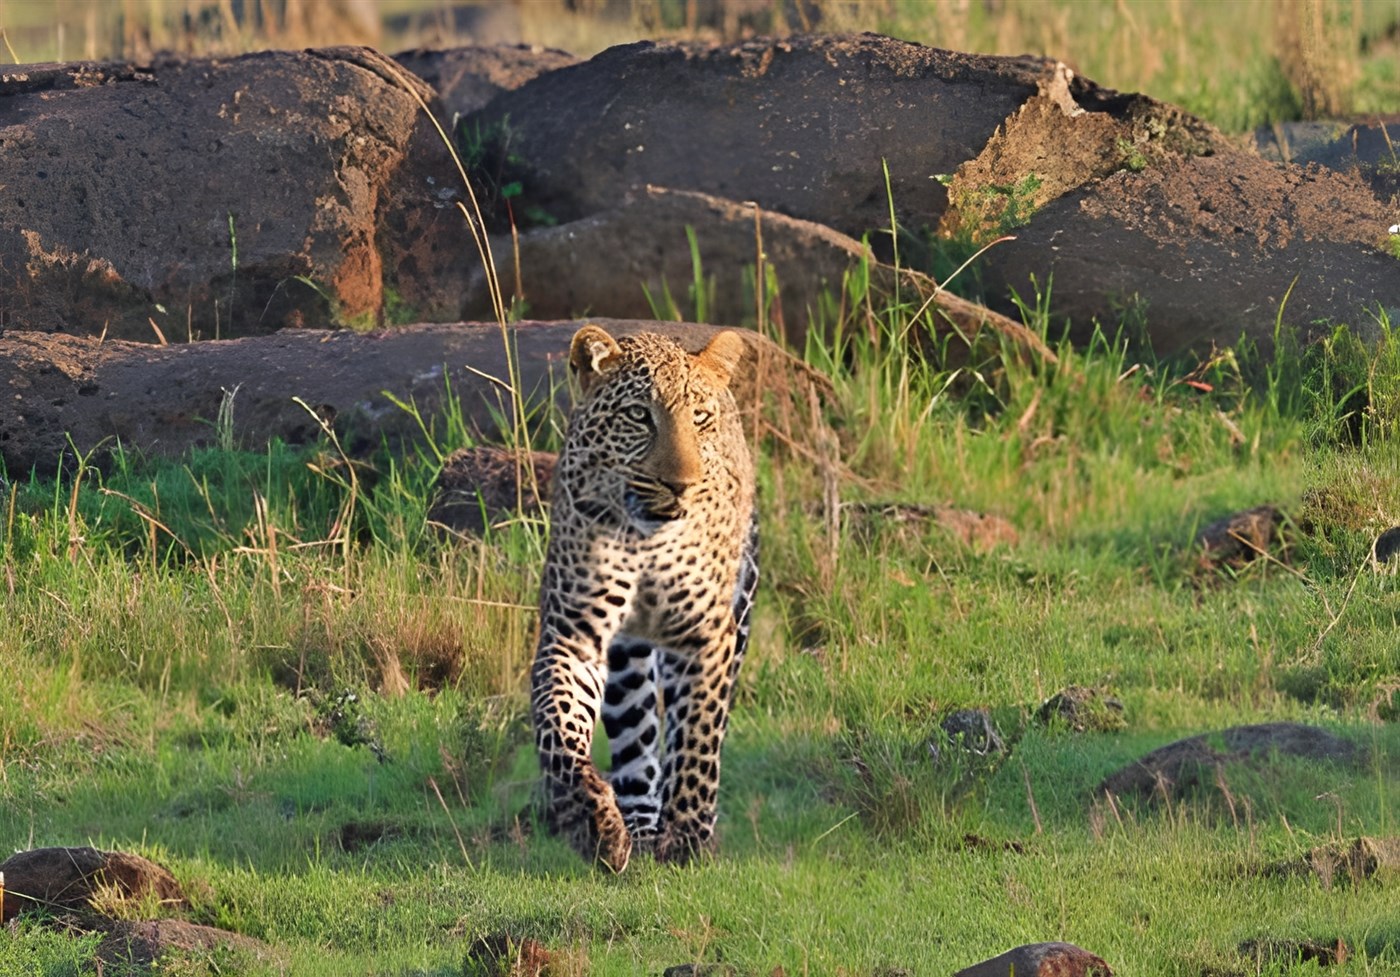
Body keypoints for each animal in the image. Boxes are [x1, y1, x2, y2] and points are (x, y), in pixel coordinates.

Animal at [530, 324, 759, 873]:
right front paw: (591, 822)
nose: (680, 485)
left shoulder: (704, 638)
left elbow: (697, 737)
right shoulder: (575, 636)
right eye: (638, 415)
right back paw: (637, 821)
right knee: (636, 733)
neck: (646, 540)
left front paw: (690, 835)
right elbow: (558, 727)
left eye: (699, 417)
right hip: (627, 657)